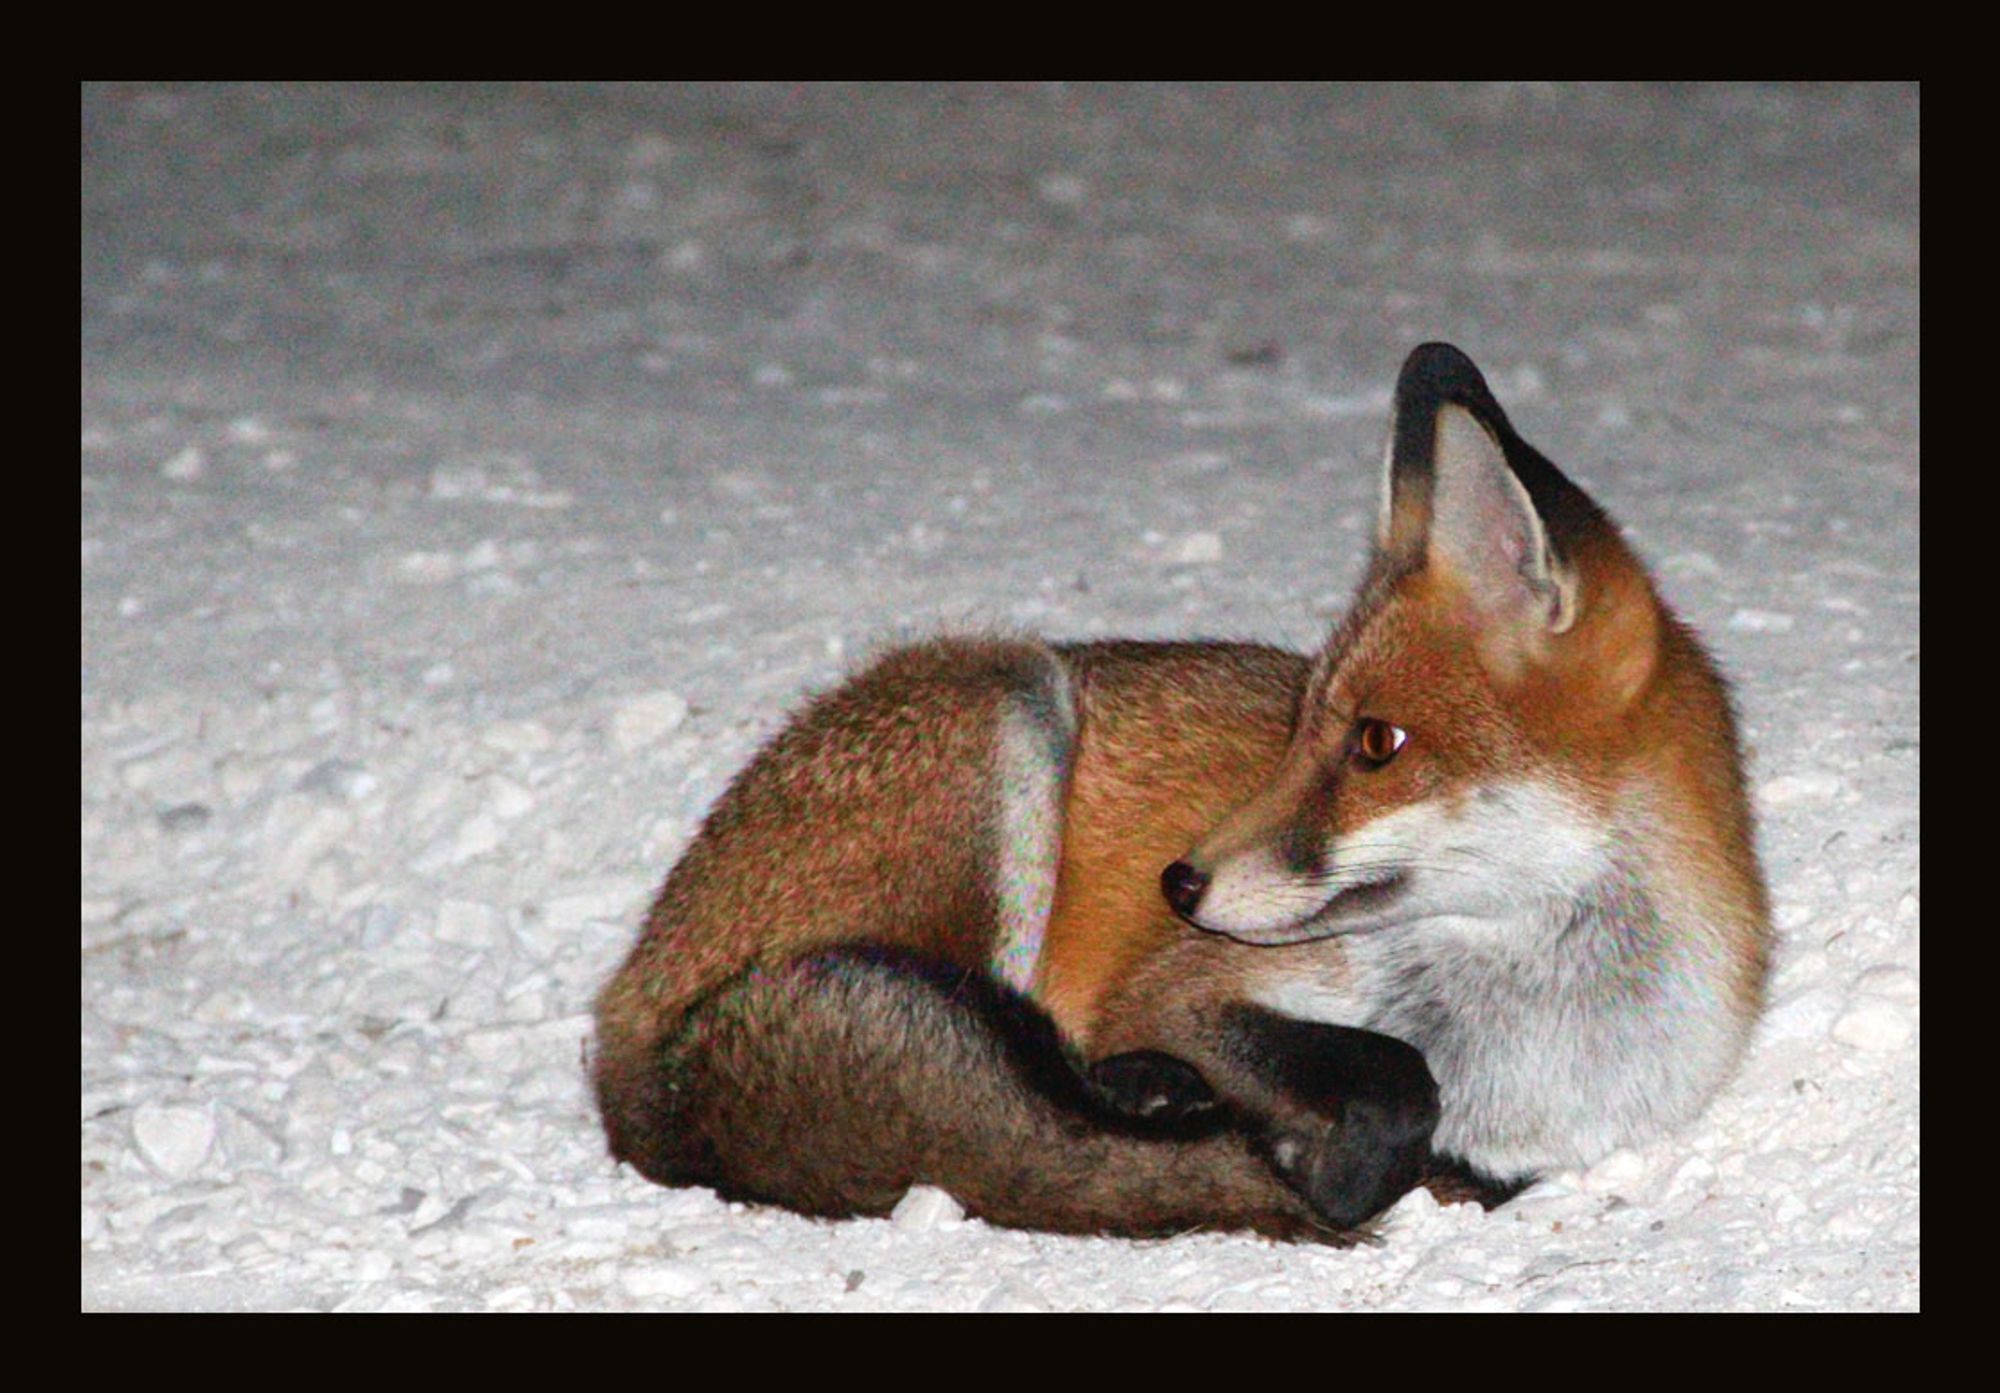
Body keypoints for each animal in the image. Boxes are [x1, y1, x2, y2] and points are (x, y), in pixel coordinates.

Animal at [588, 342, 1768, 1232]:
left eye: (1375, 742)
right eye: (1300, 726)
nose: (1180, 885)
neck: (1531, 1026)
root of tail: (629, 1039)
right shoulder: (1177, 993)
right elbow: (1396, 1077)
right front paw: (1326, 1161)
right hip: (1004, 707)